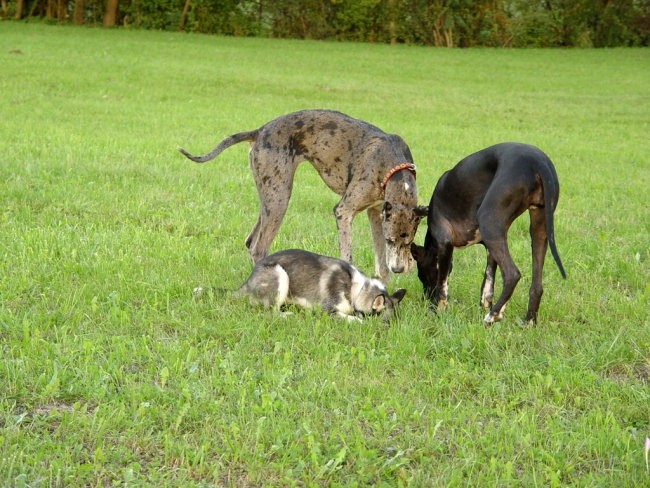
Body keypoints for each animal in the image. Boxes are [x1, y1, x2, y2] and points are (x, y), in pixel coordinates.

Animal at [233, 250, 404, 322]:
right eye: (386, 324)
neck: (356, 289)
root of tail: (246, 282)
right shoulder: (327, 312)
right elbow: (356, 319)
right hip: (280, 274)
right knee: (270, 312)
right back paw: (286, 315)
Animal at [412, 141, 564, 324]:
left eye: (422, 275)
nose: (425, 299)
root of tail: (538, 161)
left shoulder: (444, 242)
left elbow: (442, 285)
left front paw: (437, 311)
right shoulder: (490, 249)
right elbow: (487, 286)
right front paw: (485, 309)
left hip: (489, 222)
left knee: (512, 274)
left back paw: (492, 316)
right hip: (538, 229)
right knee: (537, 286)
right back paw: (527, 322)